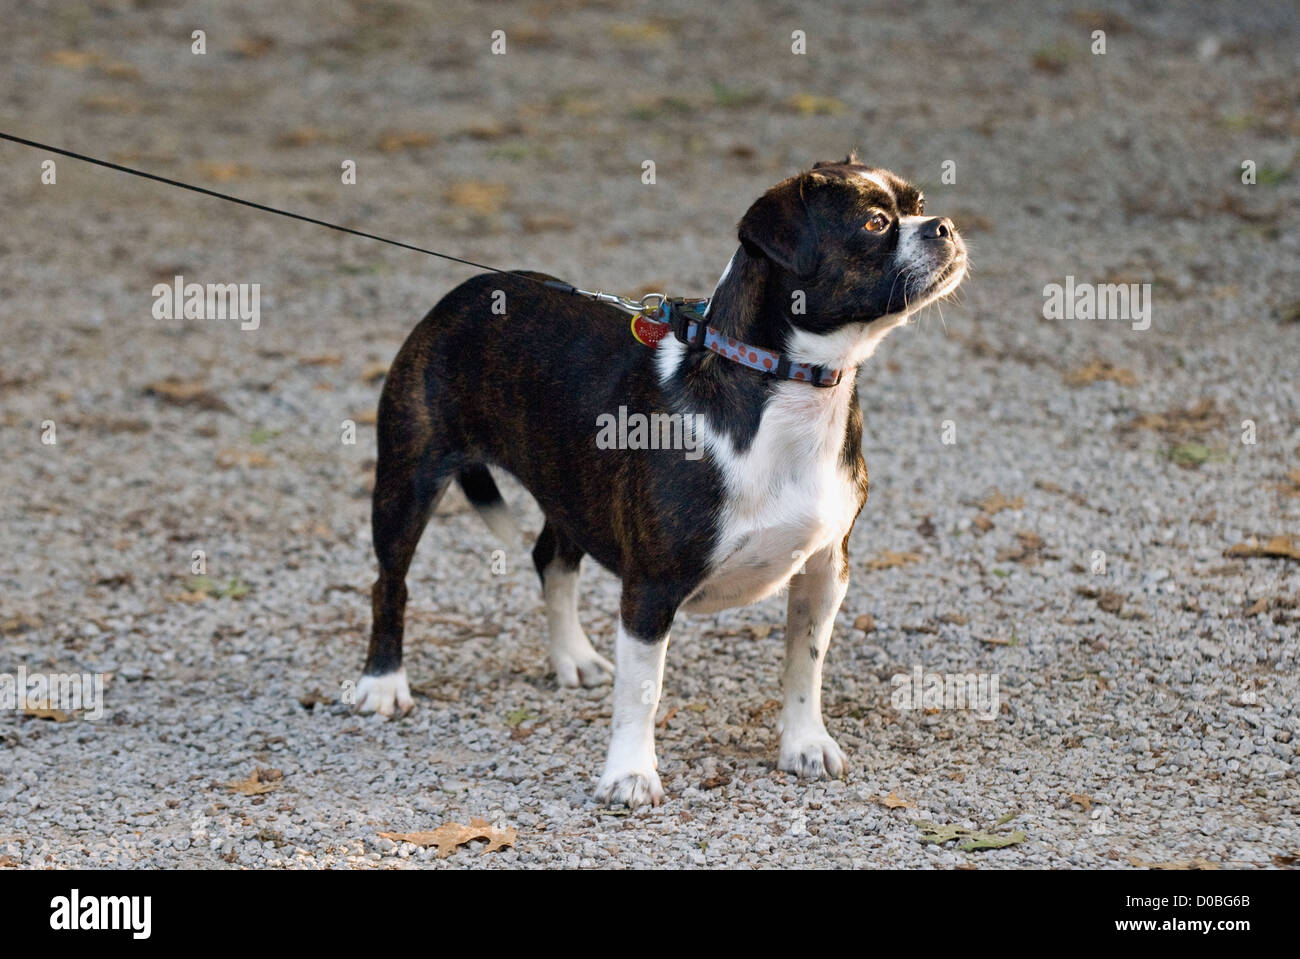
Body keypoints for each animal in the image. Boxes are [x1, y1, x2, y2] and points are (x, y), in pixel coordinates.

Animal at [356, 153, 967, 805]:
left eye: (919, 203)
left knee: (551, 559)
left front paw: (803, 744)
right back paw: (383, 683)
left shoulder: (825, 569)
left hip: (570, 488)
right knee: (390, 582)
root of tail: (462, 292)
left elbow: (805, 665)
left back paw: (572, 656)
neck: (787, 388)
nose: (944, 225)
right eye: (875, 224)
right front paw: (630, 774)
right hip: (408, 481)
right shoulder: (651, 588)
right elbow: (640, 693)